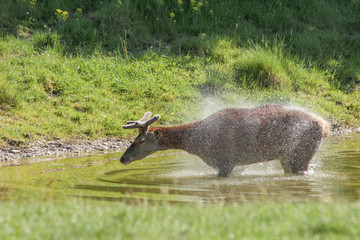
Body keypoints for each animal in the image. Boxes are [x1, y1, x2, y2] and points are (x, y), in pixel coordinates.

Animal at [120, 104, 330, 176]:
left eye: (140, 141)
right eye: (133, 138)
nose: (123, 158)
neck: (198, 143)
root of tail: (326, 125)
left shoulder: (226, 160)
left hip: (303, 152)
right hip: (286, 157)